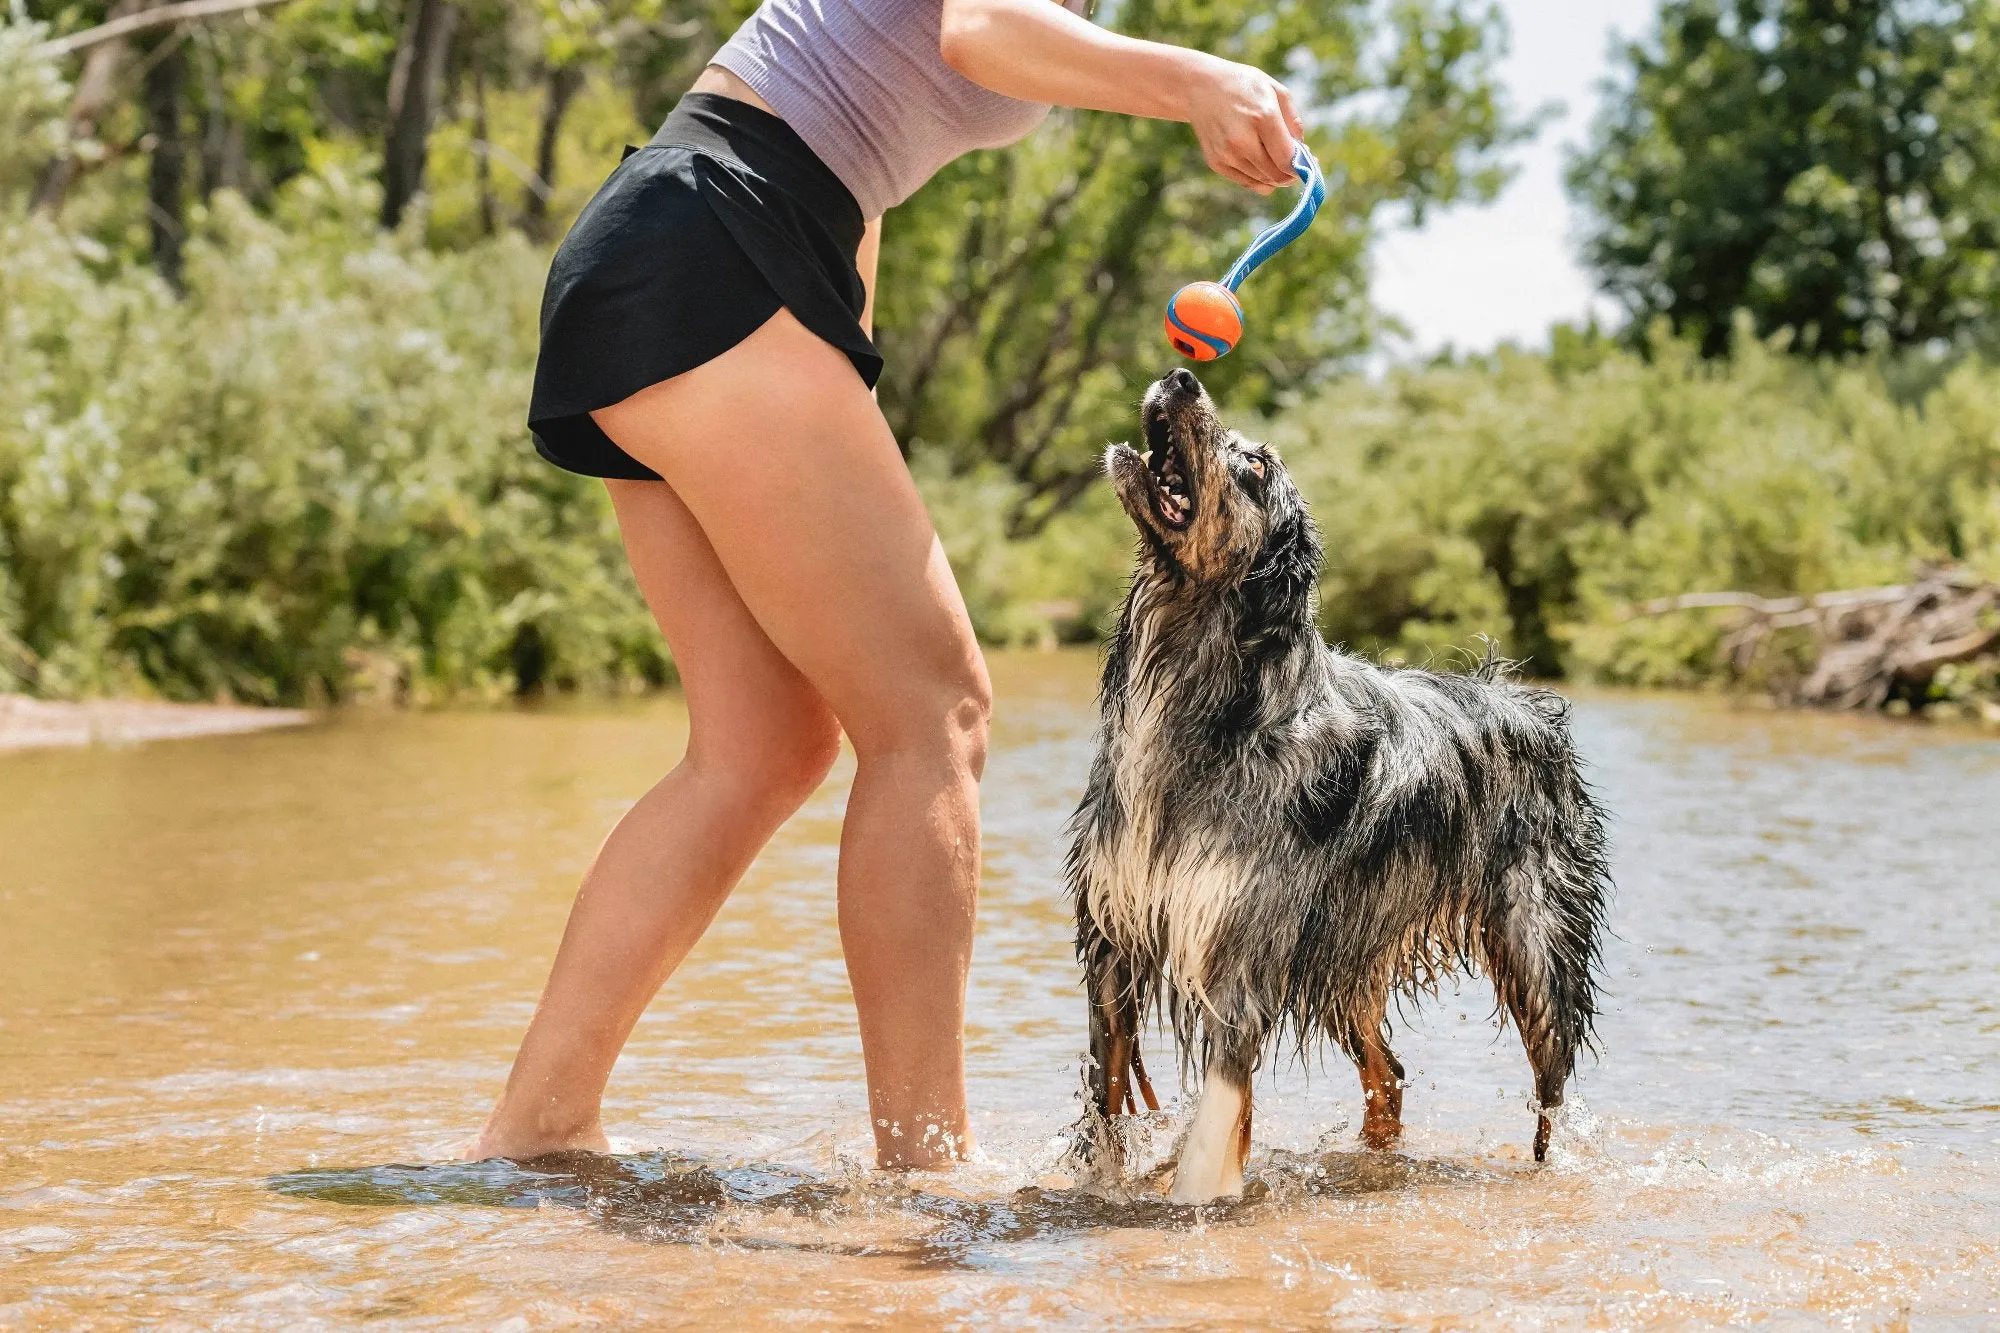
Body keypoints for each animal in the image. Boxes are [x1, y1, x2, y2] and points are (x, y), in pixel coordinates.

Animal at [1064, 368, 1608, 1200]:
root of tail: (1525, 700)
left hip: (1537, 950)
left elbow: (1211, 1131)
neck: (1203, 699)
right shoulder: (1111, 942)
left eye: (1256, 466)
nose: (1183, 375)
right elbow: (1103, 1101)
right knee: (1390, 1074)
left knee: (1550, 1097)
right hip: (1347, 958)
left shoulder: (1239, 958)